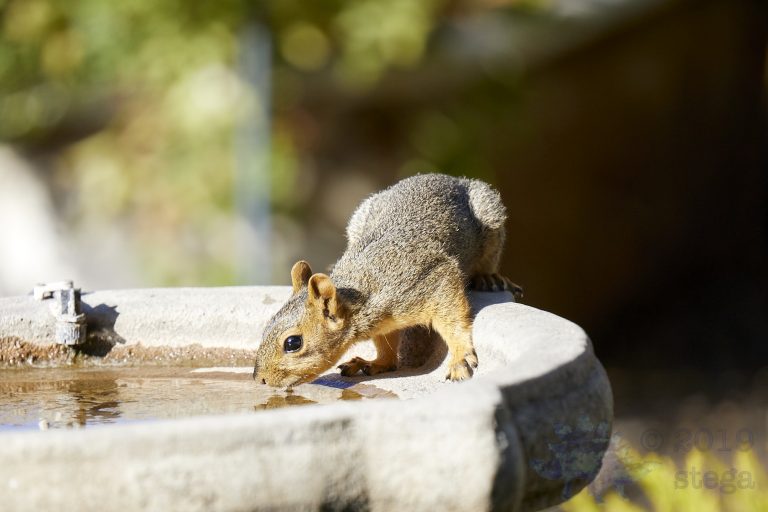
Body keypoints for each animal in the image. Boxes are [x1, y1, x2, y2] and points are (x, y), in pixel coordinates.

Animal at [253, 173, 522, 389]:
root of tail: (450, 178)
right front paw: (378, 362)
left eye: (292, 343)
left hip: (489, 215)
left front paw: (460, 358)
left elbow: (453, 317)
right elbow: (386, 343)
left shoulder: (432, 278)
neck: (363, 291)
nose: (260, 379)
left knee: (489, 256)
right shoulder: (384, 321)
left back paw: (488, 277)